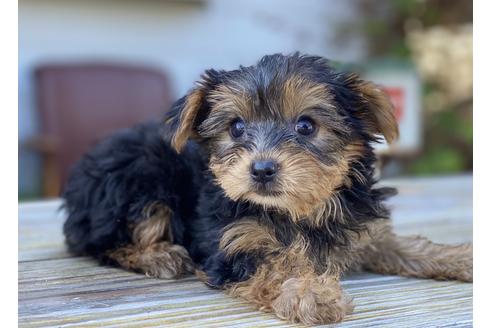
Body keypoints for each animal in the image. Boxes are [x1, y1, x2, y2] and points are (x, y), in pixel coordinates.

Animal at [62, 52, 472, 324]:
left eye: (306, 126)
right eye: (236, 128)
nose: (261, 169)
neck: (300, 210)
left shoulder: (364, 228)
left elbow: (404, 244)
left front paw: (458, 257)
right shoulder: (233, 245)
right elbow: (275, 264)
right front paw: (308, 291)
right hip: (139, 179)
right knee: (102, 240)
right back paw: (158, 256)